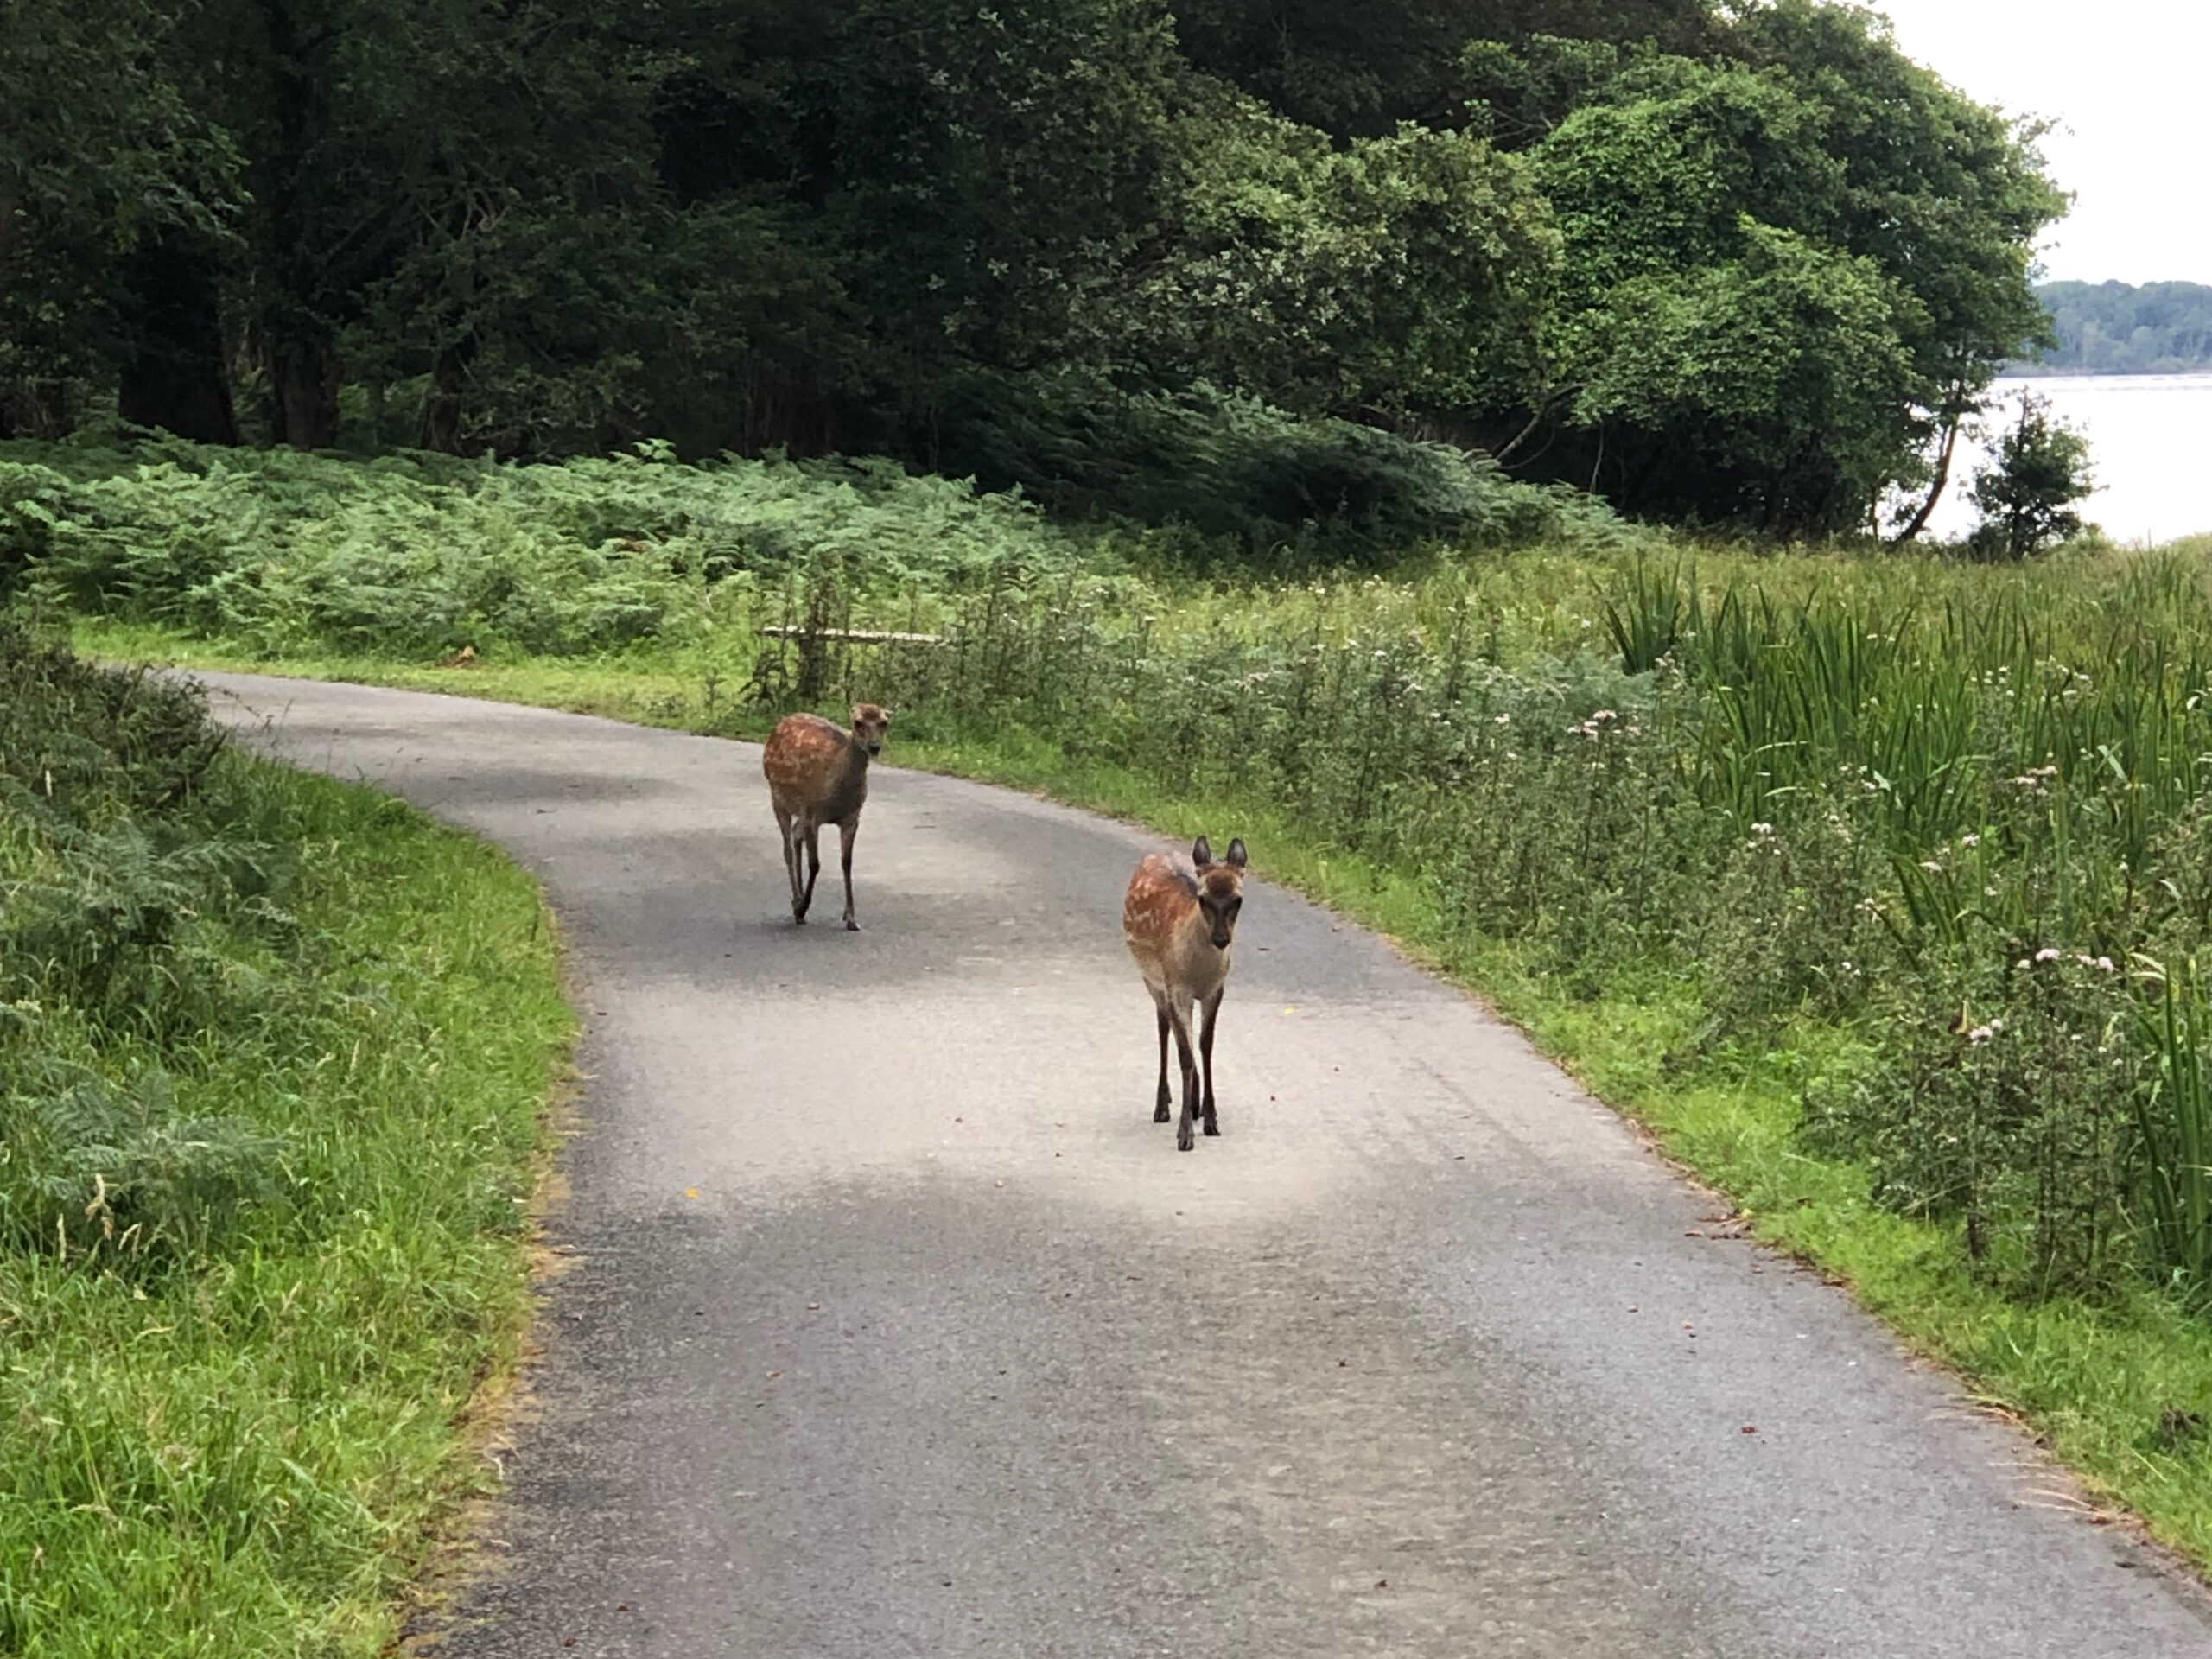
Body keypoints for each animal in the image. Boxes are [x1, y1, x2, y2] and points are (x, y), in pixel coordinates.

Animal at [760, 703, 889, 938]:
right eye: (858, 722)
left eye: (884, 722)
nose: (875, 747)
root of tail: (782, 722)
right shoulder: (813, 814)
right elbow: (815, 864)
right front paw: (803, 907)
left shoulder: (852, 818)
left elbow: (847, 862)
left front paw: (851, 918)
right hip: (778, 797)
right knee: (787, 849)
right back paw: (797, 904)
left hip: (800, 810)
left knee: (796, 834)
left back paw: (798, 900)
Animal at [1123, 836, 1247, 1150]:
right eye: (1203, 898)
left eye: (1237, 899)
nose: (1221, 939)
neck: (1198, 970)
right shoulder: (1176, 987)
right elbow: (1185, 1054)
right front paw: (1185, 1134)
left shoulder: (1216, 989)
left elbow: (1205, 1045)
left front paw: (1211, 1118)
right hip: (1152, 979)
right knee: (1163, 1029)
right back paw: (1163, 1105)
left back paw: (1193, 1104)